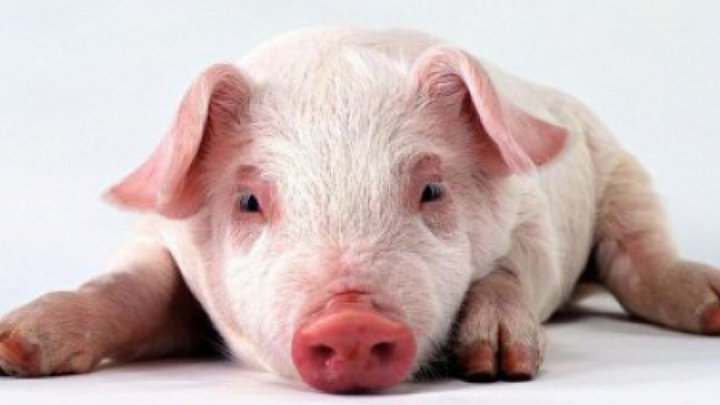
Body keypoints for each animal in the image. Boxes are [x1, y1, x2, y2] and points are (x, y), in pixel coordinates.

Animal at [1, 27, 719, 393]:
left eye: (432, 190)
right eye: (249, 199)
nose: (349, 320)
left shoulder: (534, 221)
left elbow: (508, 271)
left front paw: (496, 366)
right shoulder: (159, 236)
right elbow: (133, 286)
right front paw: (17, 347)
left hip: (622, 170)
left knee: (639, 252)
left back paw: (710, 304)